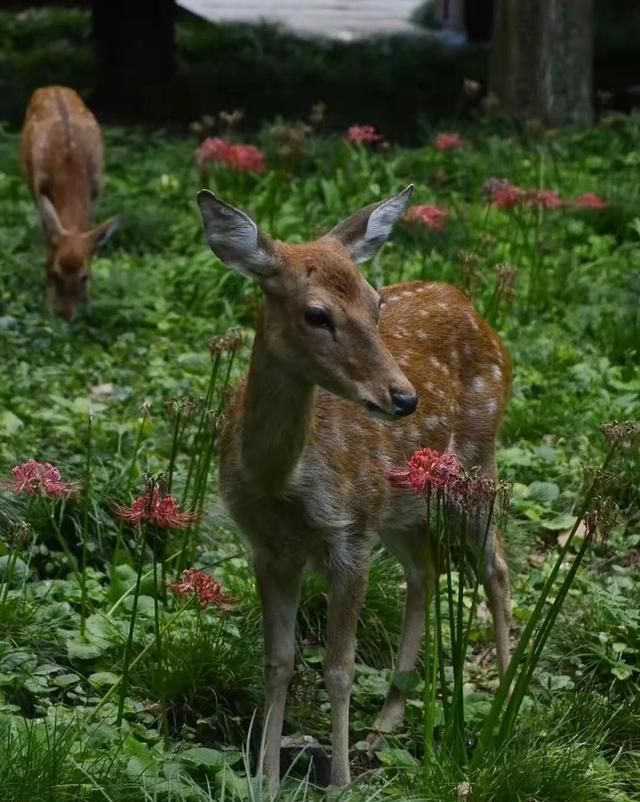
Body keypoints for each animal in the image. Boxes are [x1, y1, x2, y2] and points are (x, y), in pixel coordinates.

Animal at [20, 85, 118, 322]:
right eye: (56, 273)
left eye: (85, 277)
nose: (66, 315)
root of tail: (51, 86)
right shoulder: (40, 188)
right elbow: (49, 246)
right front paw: (45, 309)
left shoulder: (96, 189)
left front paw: (90, 307)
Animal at [198, 186, 512, 788]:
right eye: (316, 314)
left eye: (374, 302)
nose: (404, 398)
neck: (280, 484)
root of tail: (472, 307)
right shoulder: (268, 548)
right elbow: (279, 663)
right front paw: (267, 780)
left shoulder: (348, 534)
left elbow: (339, 667)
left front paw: (341, 783)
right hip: (400, 506)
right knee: (427, 570)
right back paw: (386, 721)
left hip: (474, 464)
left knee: (497, 567)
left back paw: (508, 707)